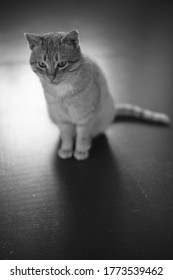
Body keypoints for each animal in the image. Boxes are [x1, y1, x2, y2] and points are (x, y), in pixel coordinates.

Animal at [24, 29, 170, 161]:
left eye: (61, 64)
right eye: (42, 64)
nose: (51, 77)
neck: (63, 93)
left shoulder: (86, 118)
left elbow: (82, 136)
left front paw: (81, 150)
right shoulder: (62, 119)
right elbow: (66, 136)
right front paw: (66, 149)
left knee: (92, 134)